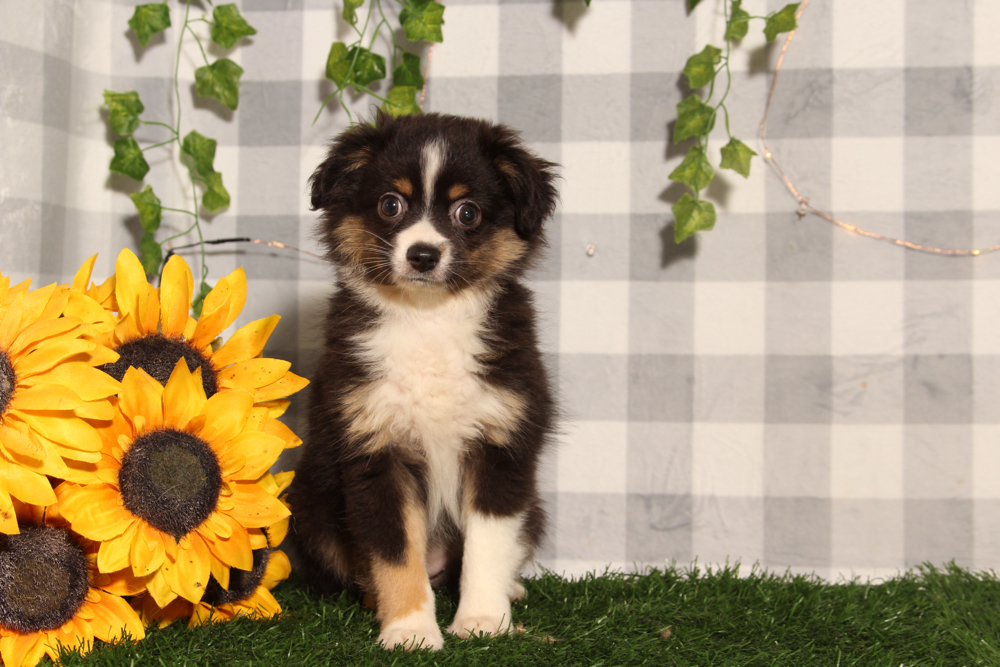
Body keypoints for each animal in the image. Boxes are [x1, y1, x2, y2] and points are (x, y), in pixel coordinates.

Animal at [288, 111, 558, 651]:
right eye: (390, 204)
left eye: (467, 213)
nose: (423, 255)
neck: (429, 318)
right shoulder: (375, 450)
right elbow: (395, 553)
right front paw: (410, 630)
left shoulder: (501, 444)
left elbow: (488, 545)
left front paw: (482, 621)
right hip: (310, 508)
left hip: (534, 507)